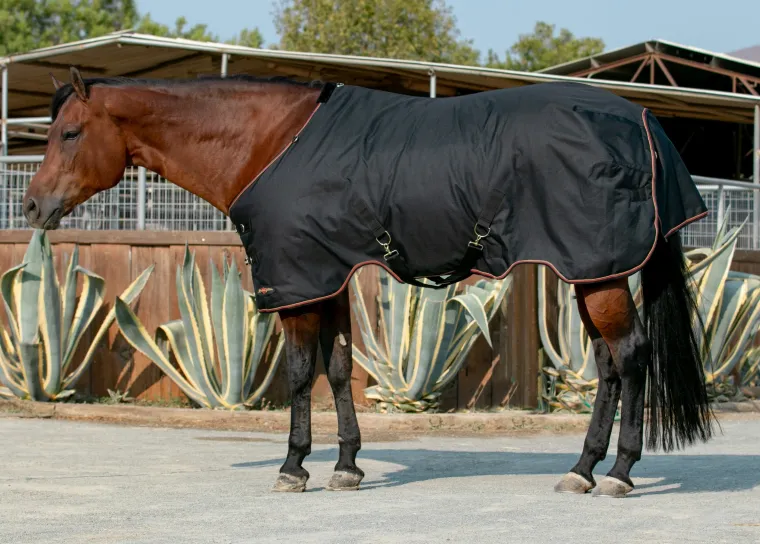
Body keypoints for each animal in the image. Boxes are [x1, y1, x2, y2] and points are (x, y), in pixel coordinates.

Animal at [23, 67, 714, 498]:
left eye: (71, 133)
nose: (32, 207)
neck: (271, 141)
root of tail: (643, 120)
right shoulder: (327, 276)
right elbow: (336, 369)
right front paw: (348, 466)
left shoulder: (297, 282)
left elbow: (300, 372)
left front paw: (293, 467)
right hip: (590, 272)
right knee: (608, 365)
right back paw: (584, 469)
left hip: (598, 274)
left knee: (631, 357)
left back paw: (618, 472)